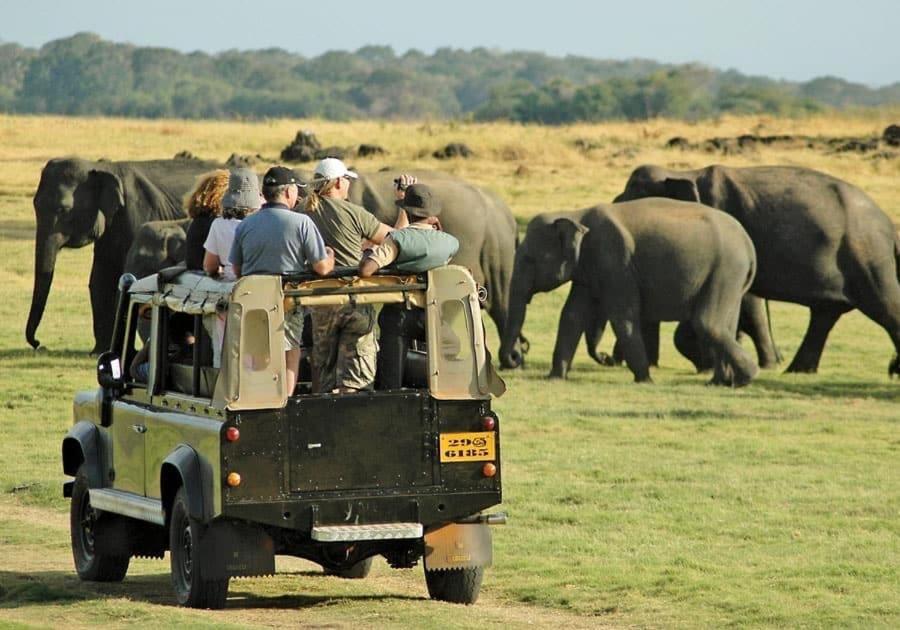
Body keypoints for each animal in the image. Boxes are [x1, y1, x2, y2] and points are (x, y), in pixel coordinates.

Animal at [28, 158, 220, 356]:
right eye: (34, 204)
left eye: (63, 209)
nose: (38, 343)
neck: (102, 168)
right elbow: (100, 279)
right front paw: (99, 352)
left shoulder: (139, 213)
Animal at [500, 200, 760, 388]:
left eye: (529, 260)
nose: (516, 356)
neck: (576, 214)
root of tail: (749, 244)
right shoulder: (588, 269)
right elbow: (571, 316)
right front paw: (554, 377)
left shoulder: (616, 261)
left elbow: (622, 316)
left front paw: (644, 380)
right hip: (731, 278)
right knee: (726, 324)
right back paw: (720, 382)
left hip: (725, 270)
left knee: (707, 322)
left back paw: (746, 377)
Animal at [612, 165, 900, 378]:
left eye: (631, 200)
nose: (609, 360)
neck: (686, 172)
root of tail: (888, 224)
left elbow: (745, 301)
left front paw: (708, 363)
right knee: (824, 315)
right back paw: (797, 370)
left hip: (867, 257)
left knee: (884, 306)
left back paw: (892, 370)